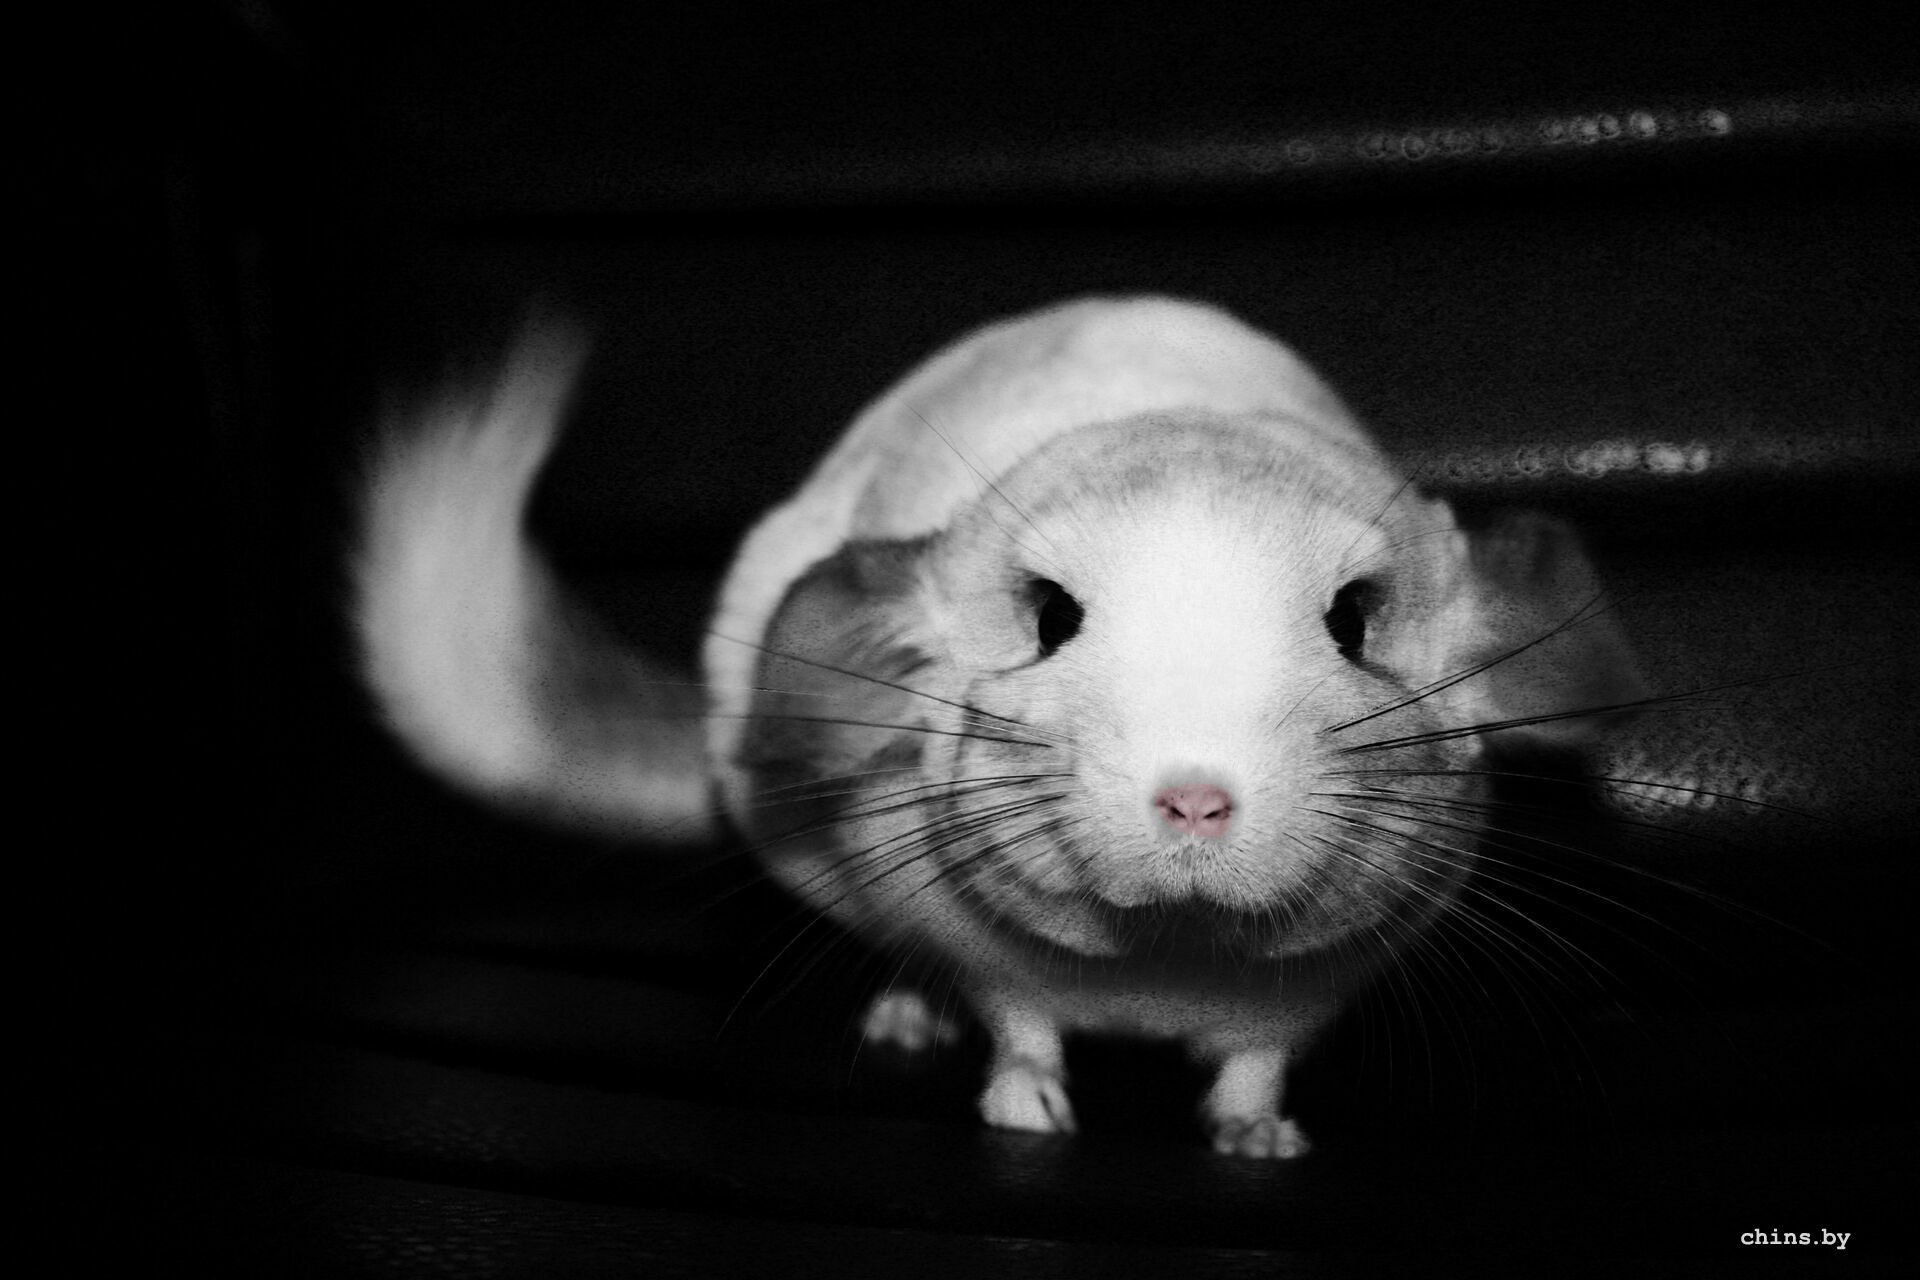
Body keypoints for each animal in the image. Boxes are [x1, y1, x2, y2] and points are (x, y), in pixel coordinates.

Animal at [356, 295, 1645, 1158]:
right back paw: (908, 1015)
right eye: (1051, 615)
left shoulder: (1308, 993)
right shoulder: (989, 954)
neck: (1166, 953)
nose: (1195, 796)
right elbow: (1020, 1023)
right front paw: (1027, 1111)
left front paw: (1261, 1139)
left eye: (1355, 617)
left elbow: (1257, 1063)